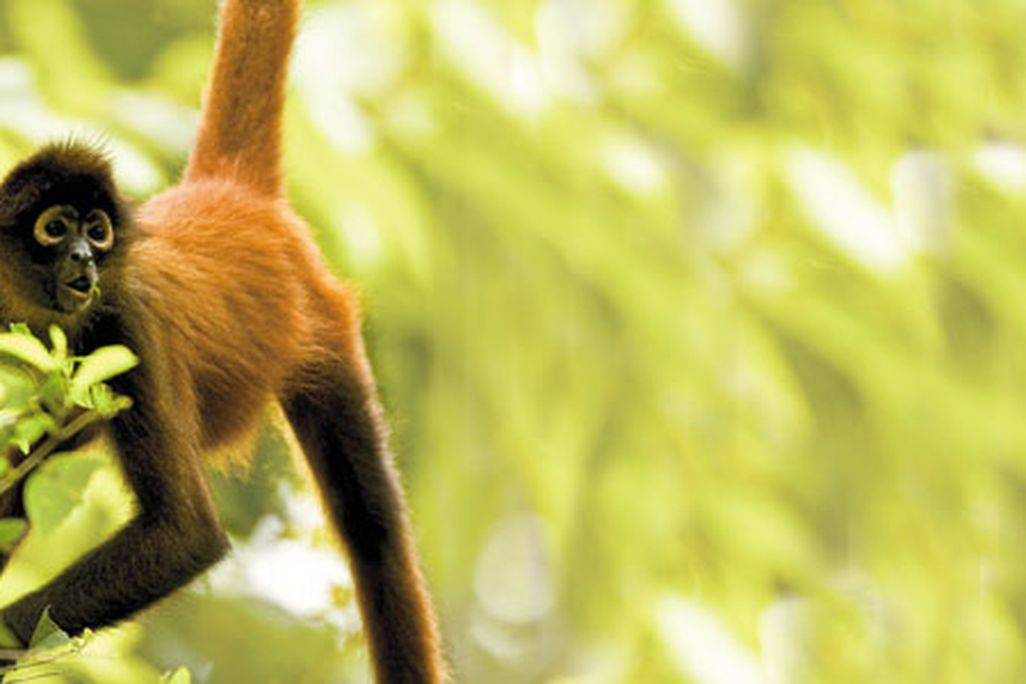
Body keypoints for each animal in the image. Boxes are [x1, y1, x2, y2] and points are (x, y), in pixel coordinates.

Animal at [0, 1, 445, 681]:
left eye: (97, 231)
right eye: (55, 229)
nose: (84, 259)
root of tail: (229, 196)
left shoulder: (126, 324)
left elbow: (184, 536)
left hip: (323, 326)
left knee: (373, 537)